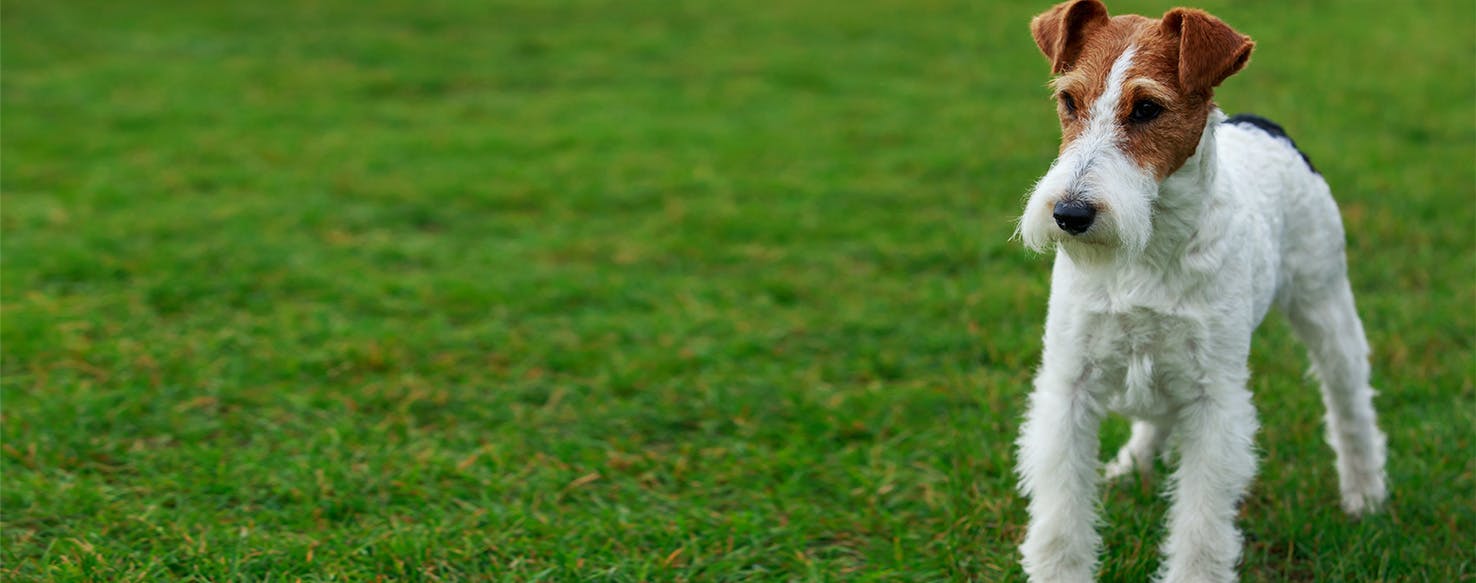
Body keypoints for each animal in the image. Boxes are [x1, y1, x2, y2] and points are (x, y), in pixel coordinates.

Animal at [1009, 2, 1387, 581]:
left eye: (1147, 108)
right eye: (1068, 101)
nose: (1070, 214)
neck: (1147, 247)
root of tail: (1266, 126)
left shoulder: (1215, 399)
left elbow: (1202, 526)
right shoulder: (1070, 382)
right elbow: (1061, 519)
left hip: (1325, 305)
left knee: (1350, 406)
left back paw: (1365, 495)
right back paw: (1130, 464)